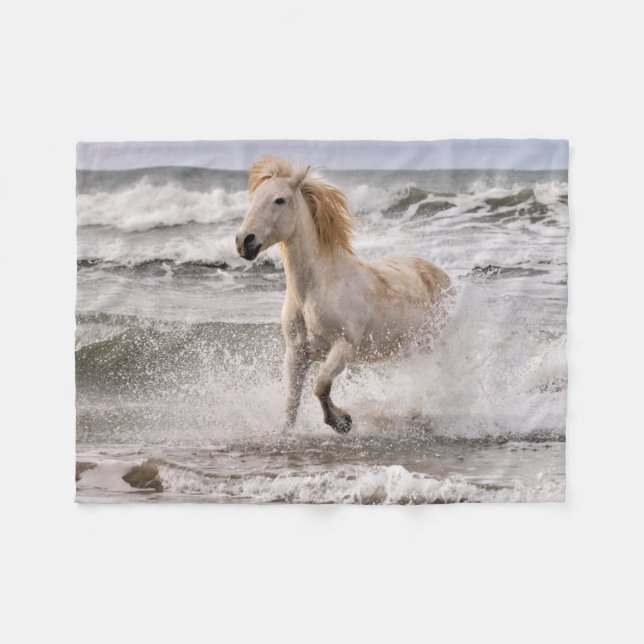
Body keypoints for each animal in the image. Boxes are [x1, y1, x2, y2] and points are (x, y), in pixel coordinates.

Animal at [235, 156, 451, 434]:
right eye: (254, 199)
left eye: (279, 200)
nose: (244, 242)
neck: (312, 291)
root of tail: (442, 276)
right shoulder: (296, 354)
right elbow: (292, 402)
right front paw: (290, 433)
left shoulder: (343, 347)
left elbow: (320, 385)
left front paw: (342, 422)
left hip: (435, 344)